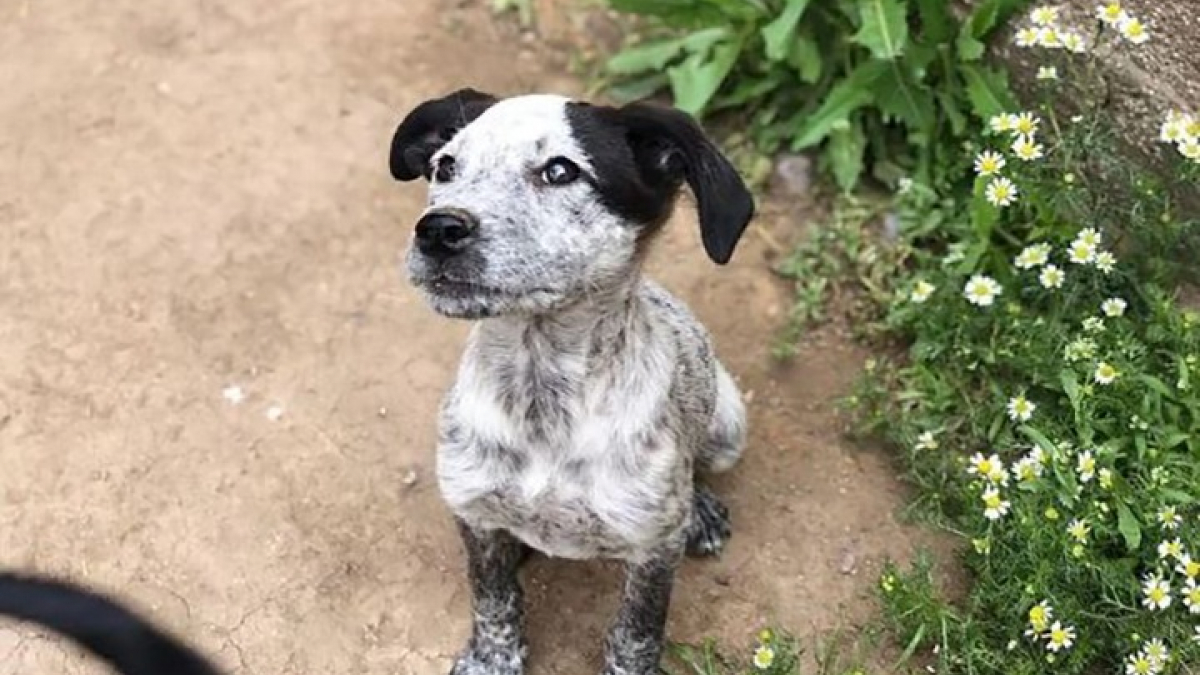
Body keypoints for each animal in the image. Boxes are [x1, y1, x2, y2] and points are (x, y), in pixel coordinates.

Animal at [388, 90, 753, 672]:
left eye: (560, 171)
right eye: (445, 166)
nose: (438, 229)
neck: (542, 394)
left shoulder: (652, 552)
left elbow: (636, 631)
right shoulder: (473, 511)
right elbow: (492, 598)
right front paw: (493, 660)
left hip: (729, 427)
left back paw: (699, 510)